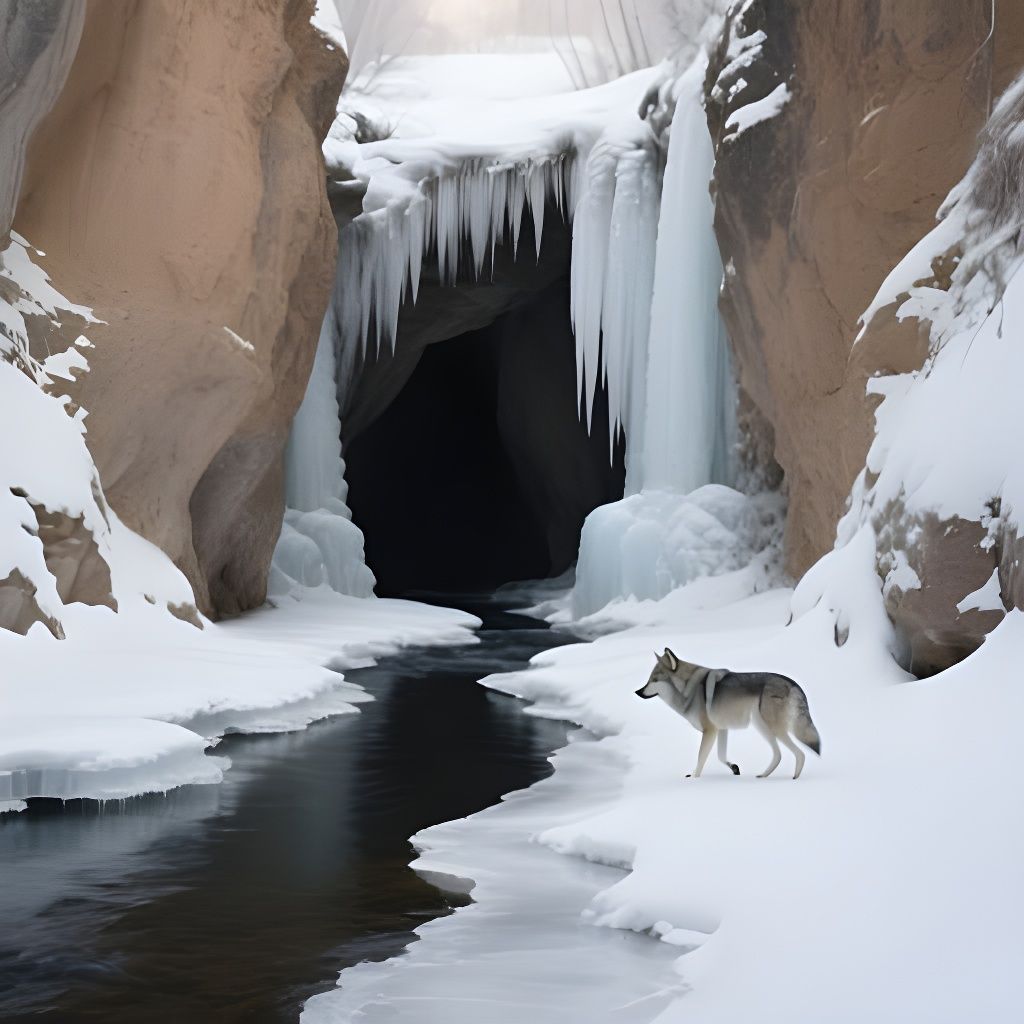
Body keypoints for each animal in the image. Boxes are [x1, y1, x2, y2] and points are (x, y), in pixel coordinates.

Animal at [635, 649, 821, 779]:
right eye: (649, 679)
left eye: (654, 680)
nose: (638, 692)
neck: (689, 689)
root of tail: (793, 684)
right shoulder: (721, 729)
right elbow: (720, 756)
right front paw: (734, 768)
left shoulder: (710, 731)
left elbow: (701, 758)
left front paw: (694, 779)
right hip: (763, 727)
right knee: (779, 755)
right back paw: (763, 776)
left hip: (773, 728)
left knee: (800, 753)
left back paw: (794, 778)